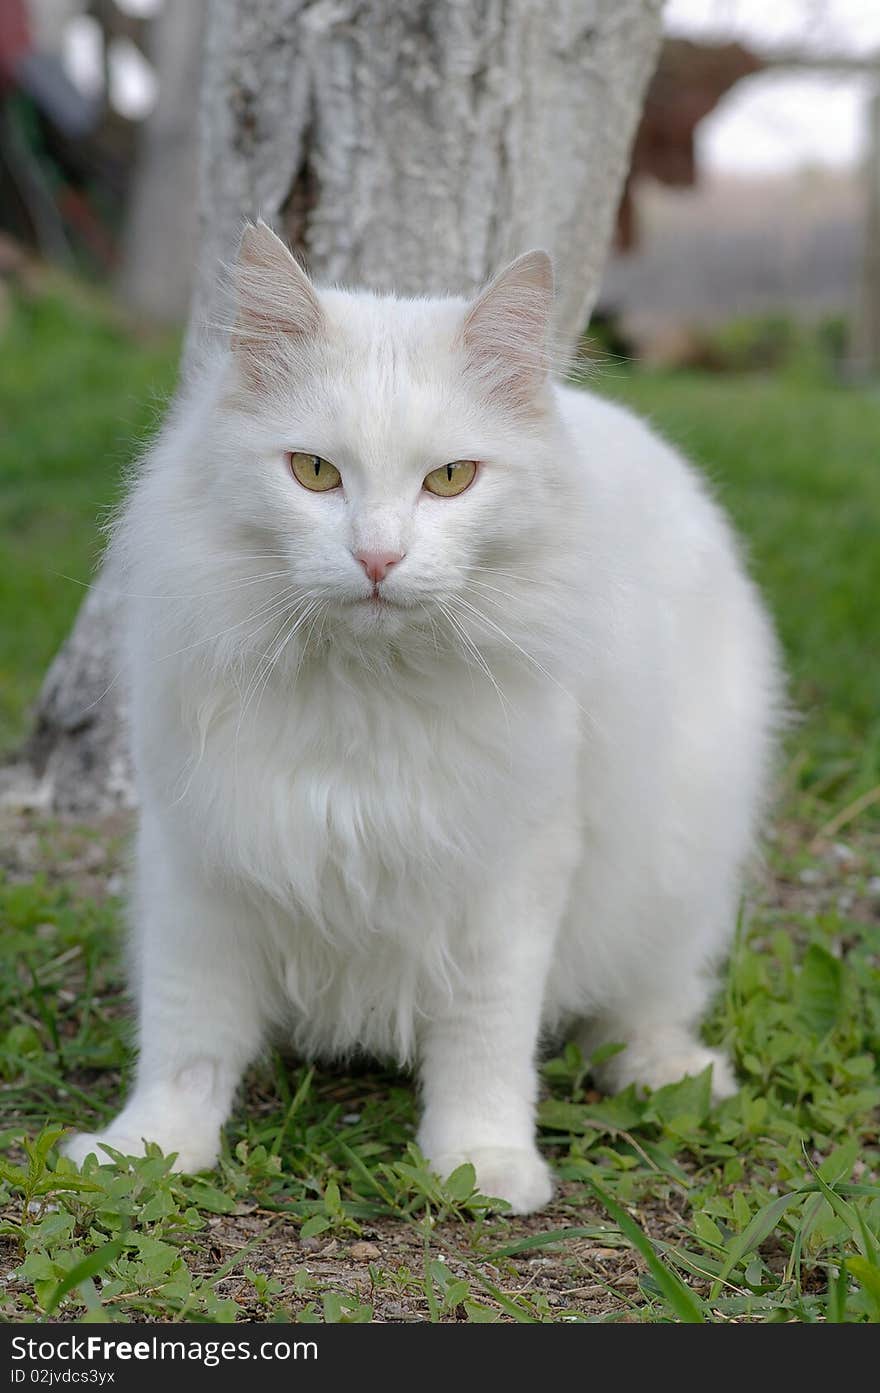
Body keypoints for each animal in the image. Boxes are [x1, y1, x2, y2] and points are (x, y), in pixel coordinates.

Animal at [65, 222, 779, 1214]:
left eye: (450, 479)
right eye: (315, 473)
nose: (377, 558)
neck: (366, 689)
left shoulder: (511, 873)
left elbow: (486, 1043)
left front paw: (482, 1165)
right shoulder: (198, 857)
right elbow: (186, 1040)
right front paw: (147, 1151)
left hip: (678, 878)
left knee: (646, 1006)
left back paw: (669, 1073)